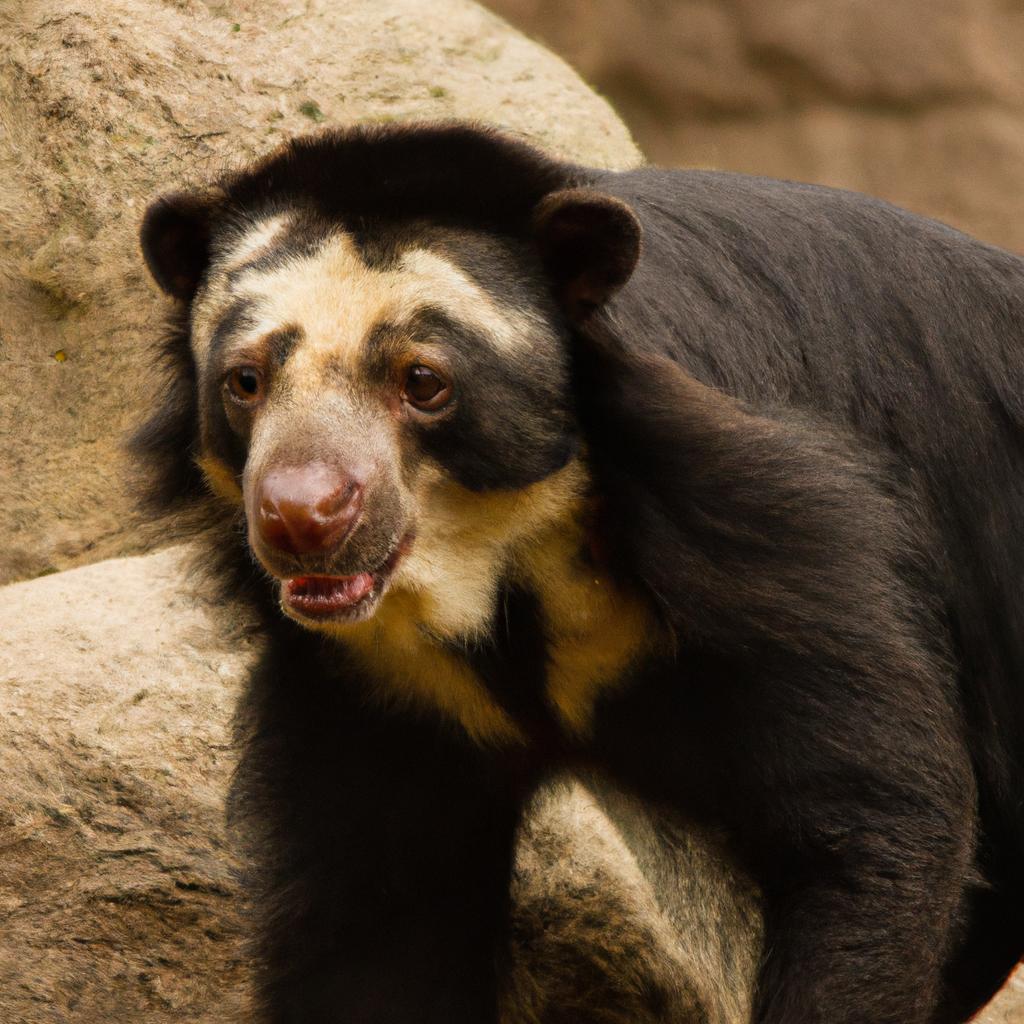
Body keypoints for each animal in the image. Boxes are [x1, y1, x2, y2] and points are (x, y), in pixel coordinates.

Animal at [132, 121, 1024, 1024]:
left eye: (423, 380)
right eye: (246, 380)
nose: (302, 516)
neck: (508, 564)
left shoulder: (767, 542)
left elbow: (871, 808)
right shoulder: (386, 683)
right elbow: (374, 909)